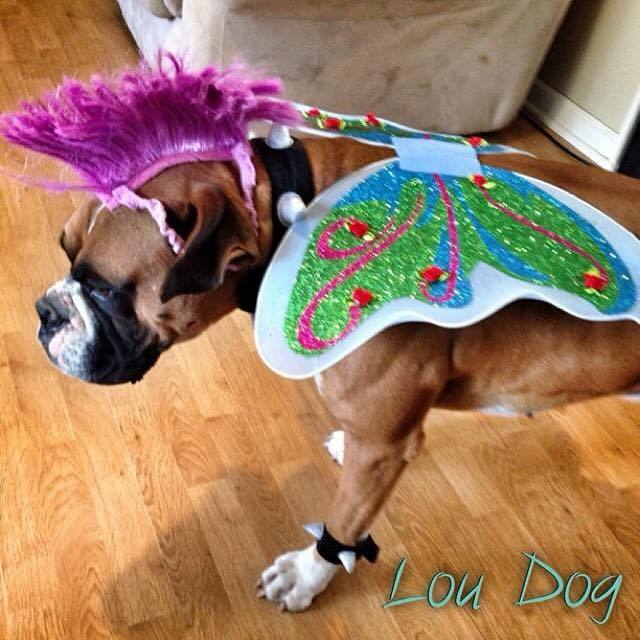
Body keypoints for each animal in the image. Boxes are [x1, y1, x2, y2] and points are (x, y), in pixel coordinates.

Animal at [33, 136, 640, 608]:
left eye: (104, 290)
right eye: (64, 250)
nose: (45, 312)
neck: (289, 206)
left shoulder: (383, 447)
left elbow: (345, 524)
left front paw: (305, 576)